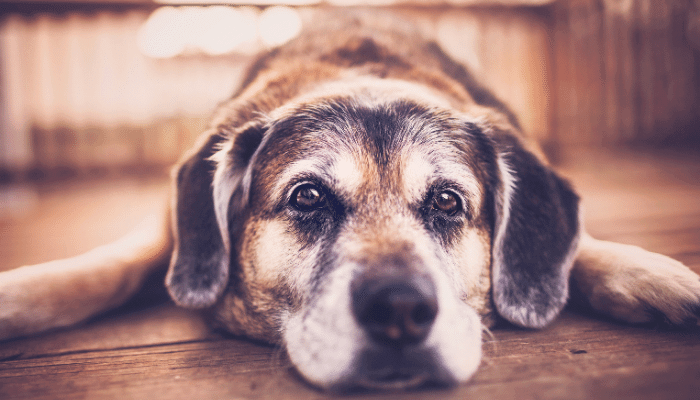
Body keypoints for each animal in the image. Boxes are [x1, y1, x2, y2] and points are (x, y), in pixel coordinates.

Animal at [1, 11, 700, 390]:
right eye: (307, 197)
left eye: (448, 203)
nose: (401, 311)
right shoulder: (164, 227)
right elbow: (109, 268)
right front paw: (20, 295)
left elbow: (587, 250)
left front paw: (662, 280)